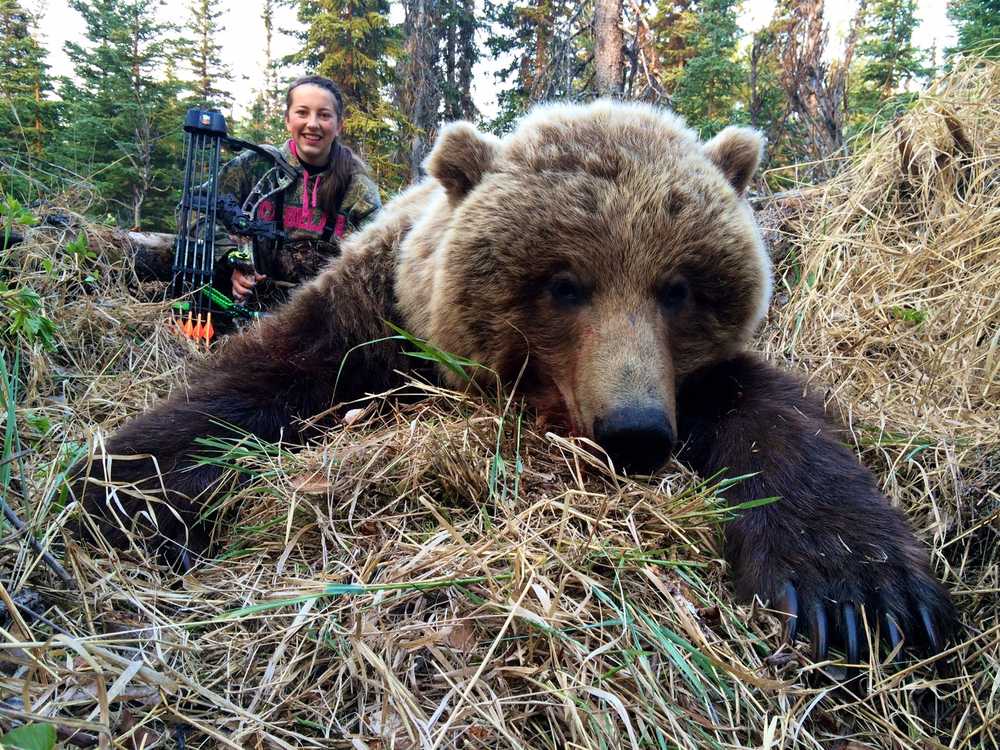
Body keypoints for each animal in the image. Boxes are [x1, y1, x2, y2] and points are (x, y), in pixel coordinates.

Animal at [76, 100, 952, 664]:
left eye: (678, 288)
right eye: (565, 285)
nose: (637, 431)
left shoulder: (697, 375)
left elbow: (778, 416)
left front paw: (856, 592)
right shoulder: (371, 315)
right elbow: (257, 380)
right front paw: (124, 490)